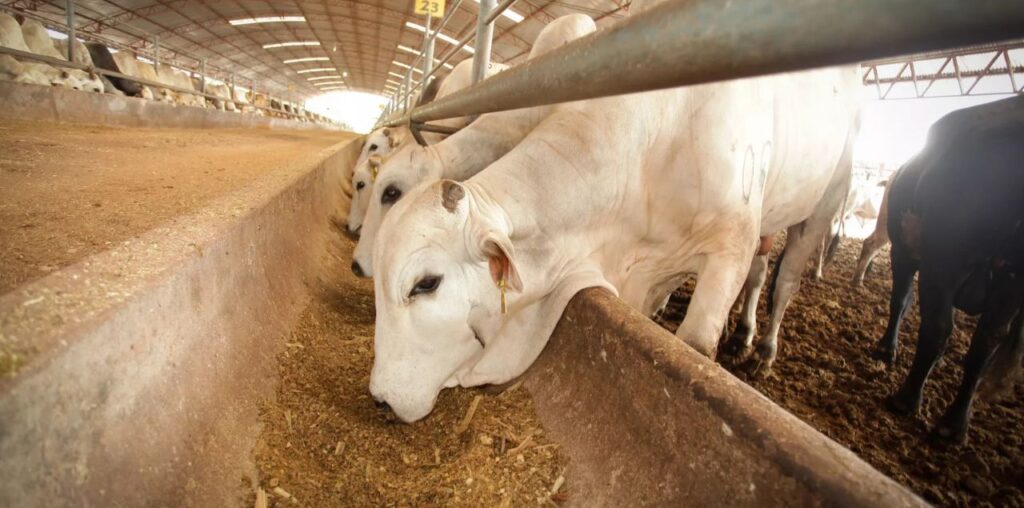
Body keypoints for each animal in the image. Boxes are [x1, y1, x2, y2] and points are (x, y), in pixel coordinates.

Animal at [368, 68, 864, 424]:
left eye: (426, 284)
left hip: (821, 206)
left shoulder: (733, 243)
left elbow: (695, 347)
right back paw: (738, 334)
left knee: (784, 281)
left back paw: (762, 351)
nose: (380, 398)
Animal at [876, 95, 1024, 444]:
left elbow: (979, 341)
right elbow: (937, 325)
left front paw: (948, 419)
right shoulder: (940, 264)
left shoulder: (1011, 283)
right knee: (911, 307)